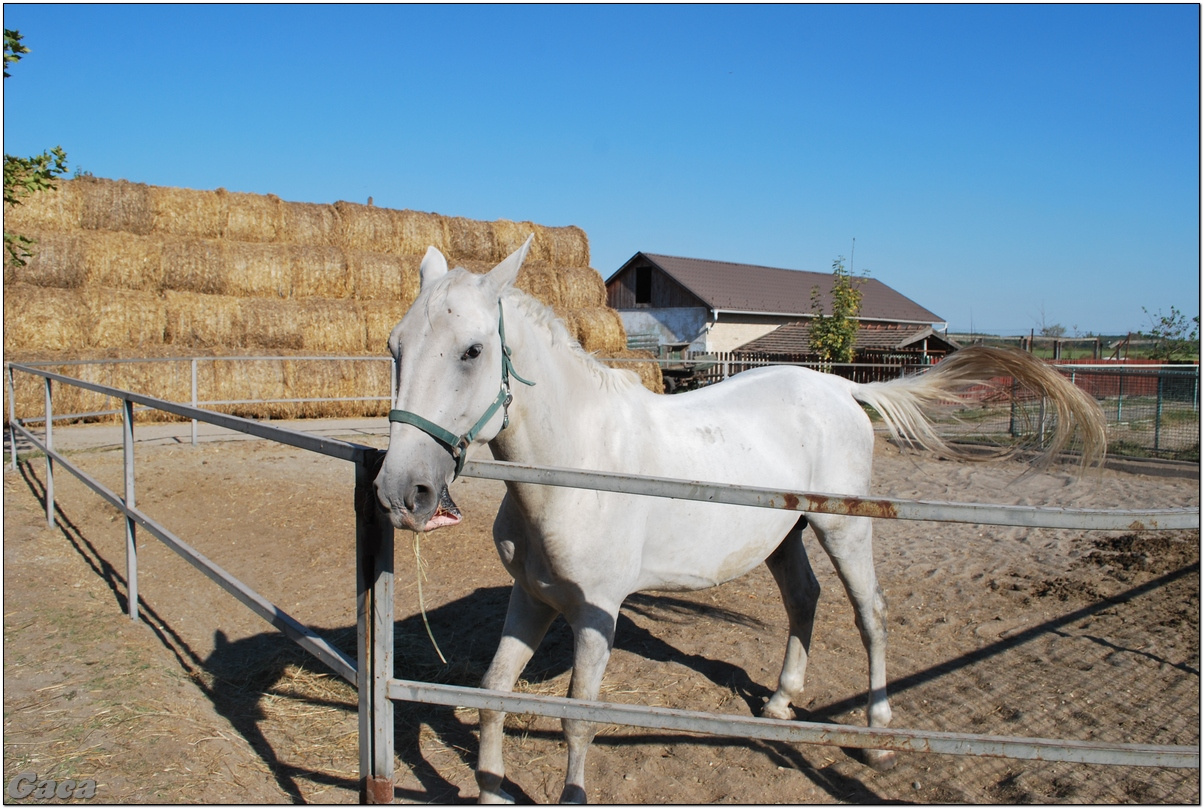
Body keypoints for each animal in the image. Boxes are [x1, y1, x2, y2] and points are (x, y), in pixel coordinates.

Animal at [375, 235, 1107, 804]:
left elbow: (578, 719)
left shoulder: (594, 612)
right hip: (786, 536)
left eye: (472, 350)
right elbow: (496, 690)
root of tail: (841, 387)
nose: (402, 491)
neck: (577, 468)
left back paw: (878, 733)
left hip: (845, 528)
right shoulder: (533, 598)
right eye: (395, 346)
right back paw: (780, 702)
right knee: (805, 599)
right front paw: (491, 787)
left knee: (870, 613)